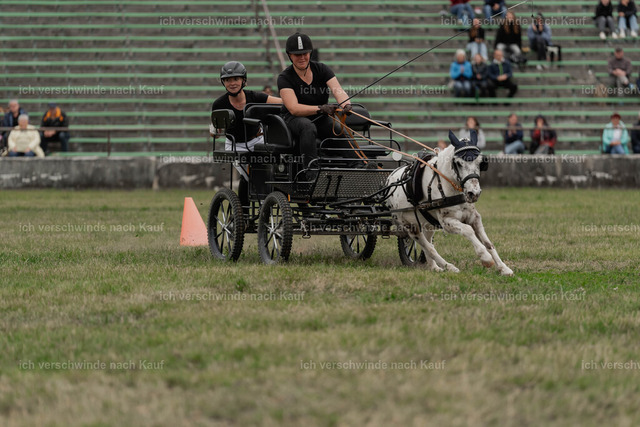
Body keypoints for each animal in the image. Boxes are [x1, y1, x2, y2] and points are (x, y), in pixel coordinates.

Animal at [385, 130, 513, 276]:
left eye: (481, 162)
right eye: (458, 163)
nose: (473, 193)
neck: (448, 186)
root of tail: (390, 178)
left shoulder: (474, 217)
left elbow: (488, 242)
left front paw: (503, 268)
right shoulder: (447, 222)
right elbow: (468, 230)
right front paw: (485, 258)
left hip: (427, 224)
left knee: (429, 244)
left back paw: (434, 267)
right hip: (410, 226)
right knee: (427, 246)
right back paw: (449, 267)